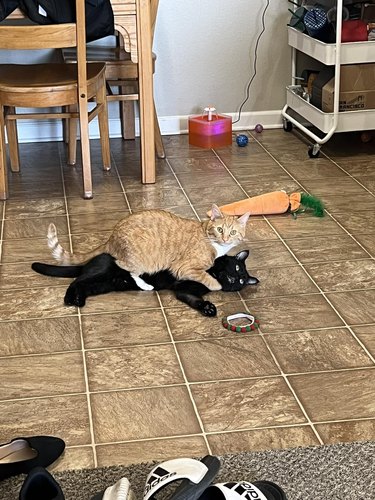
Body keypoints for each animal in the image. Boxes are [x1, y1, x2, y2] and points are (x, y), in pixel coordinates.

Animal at [32, 250, 260, 316]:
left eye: (241, 279)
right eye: (237, 268)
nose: (234, 278)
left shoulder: (183, 289)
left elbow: (193, 299)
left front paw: (208, 308)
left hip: (102, 285)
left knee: (82, 285)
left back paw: (79, 300)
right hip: (101, 273)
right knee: (75, 282)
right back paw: (70, 300)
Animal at [47, 202, 250, 290]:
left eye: (232, 232)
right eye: (219, 229)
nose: (225, 239)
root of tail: (112, 236)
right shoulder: (184, 268)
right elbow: (207, 278)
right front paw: (217, 284)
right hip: (143, 261)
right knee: (126, 268)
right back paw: (145, 285)